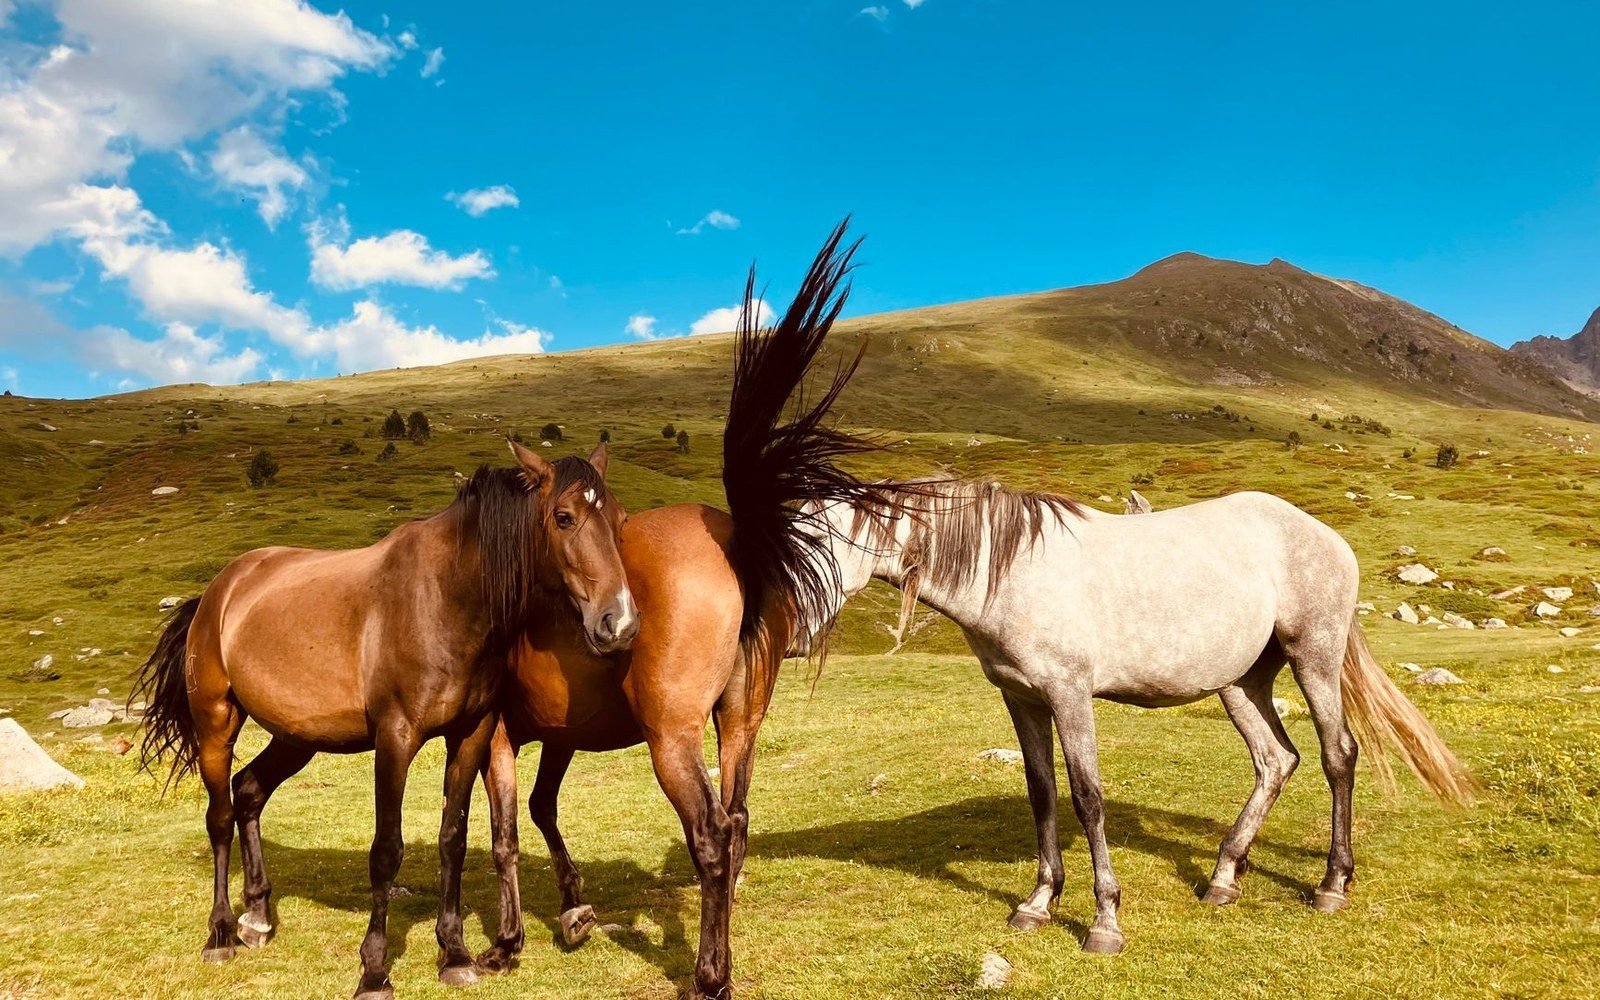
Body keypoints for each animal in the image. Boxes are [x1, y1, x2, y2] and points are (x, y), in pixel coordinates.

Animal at [132, 439, 637, 1000]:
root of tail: (218, 591)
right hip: (216, 722)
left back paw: (258, 914)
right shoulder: (396, 738)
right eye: (564, 517)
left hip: (296, 736)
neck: (445, 597)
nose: (618, 623)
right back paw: (220, 933)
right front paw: (374, 970)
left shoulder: (471, 734)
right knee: (219, 816)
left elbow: (453, 840)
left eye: (619, 521)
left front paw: (455, 953)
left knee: (248, 792)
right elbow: (386, 851)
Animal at [471, 223, 890, 999]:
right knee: (738, 822)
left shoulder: (496, 737)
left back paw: (708, 976)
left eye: (606, 521)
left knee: (712, 837)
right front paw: (573, 909)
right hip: (739, 724)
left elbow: (505, 833)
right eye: (570, 518)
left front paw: (508, 942)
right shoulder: (561, 732)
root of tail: (738, 539)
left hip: (672, 738)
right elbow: (541, 808)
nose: (616, 622)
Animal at [797, 479, 1473, 955]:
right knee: (1276, 760)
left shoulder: (1069, 695)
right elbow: (1041, 793)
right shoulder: (1023, 699)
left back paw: (1332, 885)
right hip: (1242, 683)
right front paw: (1038, 903)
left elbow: (1086, 796)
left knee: (1338, 756)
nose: (796, 636)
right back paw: (1223, 877)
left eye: (822, 541)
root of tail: (1324, 535)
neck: (1010, 571)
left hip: (1316, 657)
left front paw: (1105, 921)